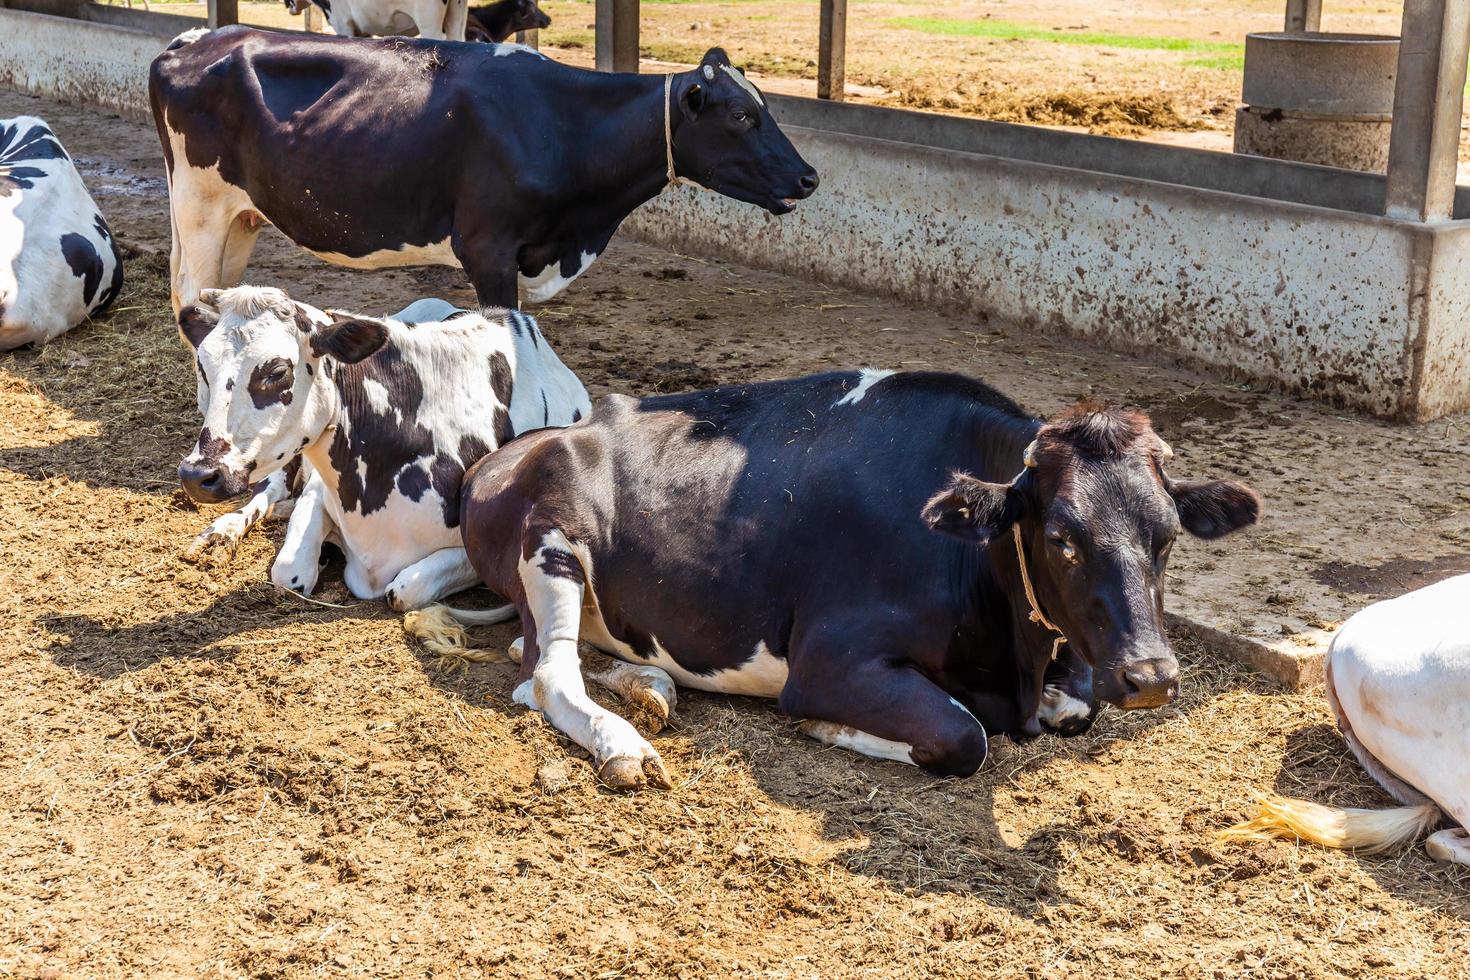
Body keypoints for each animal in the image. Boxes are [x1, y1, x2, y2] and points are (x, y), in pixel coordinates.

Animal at [150, 28, 823, 310]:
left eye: (763, 105)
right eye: (742, 115)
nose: (810, 177)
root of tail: (190, 41)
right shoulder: (487, 247)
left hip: (241, 215)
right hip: (199, 206)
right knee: (190, 296)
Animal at [180, 283, 593, 608]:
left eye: (277, 371)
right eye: (203, 366)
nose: (196, 474)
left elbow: (406, 588)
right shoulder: (319, 487)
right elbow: (288, 571)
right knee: (268, 491)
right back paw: (225, 529)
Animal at [417, 367, 1264, 787]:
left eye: (1167, 536)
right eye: (1060, 537)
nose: (1153, 677)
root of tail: (521, 445)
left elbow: (1076, 704)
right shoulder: (831, 659)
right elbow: (964, 735)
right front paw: (832, 728)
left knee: (545, 656)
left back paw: (650, 687)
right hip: (554, 540)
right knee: (544, 675)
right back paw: (623, 742)